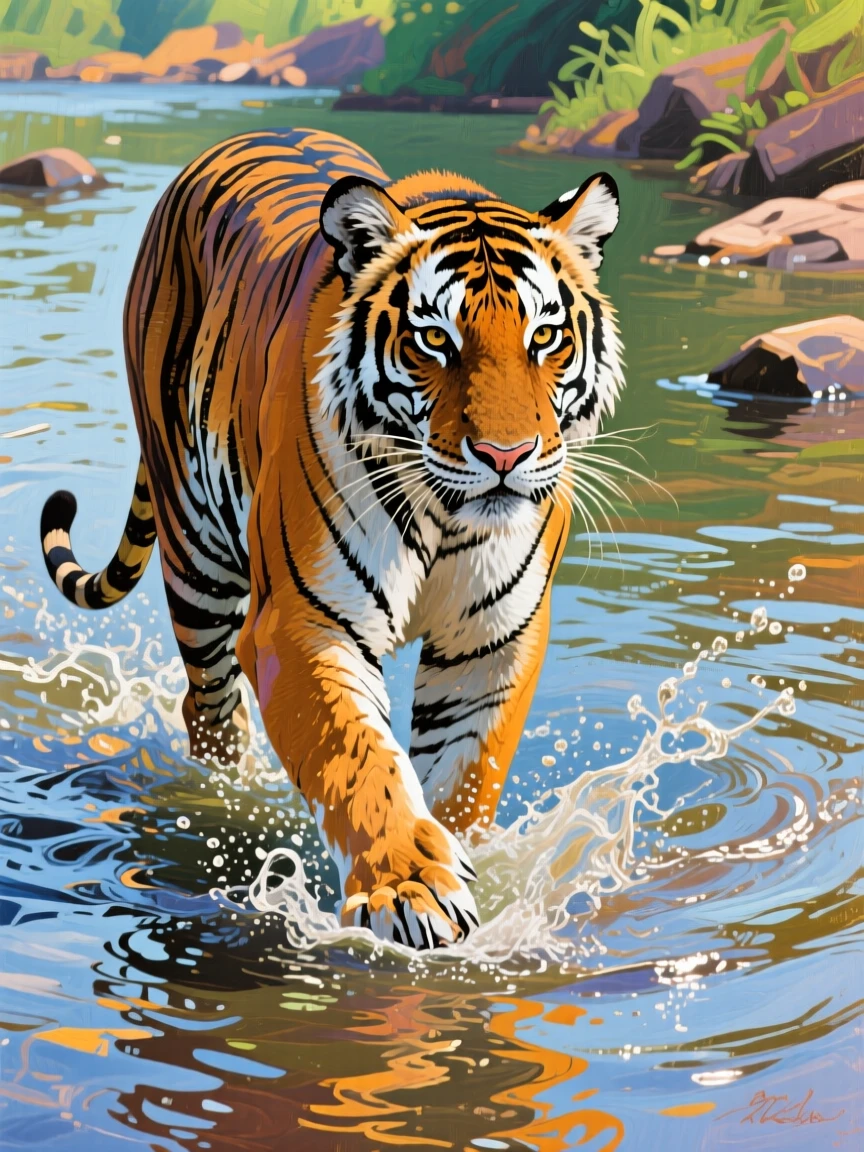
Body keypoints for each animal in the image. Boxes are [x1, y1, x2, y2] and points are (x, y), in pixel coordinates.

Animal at [40, 128, 623, 950]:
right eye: (434, 340)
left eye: (545, 337)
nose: (505, 456)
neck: (447, 514)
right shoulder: (305, 622)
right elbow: (359, 760)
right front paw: (410, 888)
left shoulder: (492, 641)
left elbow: (464, 778)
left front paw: (472, 876)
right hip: (198, 558)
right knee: (208, 710)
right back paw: (218, 807)